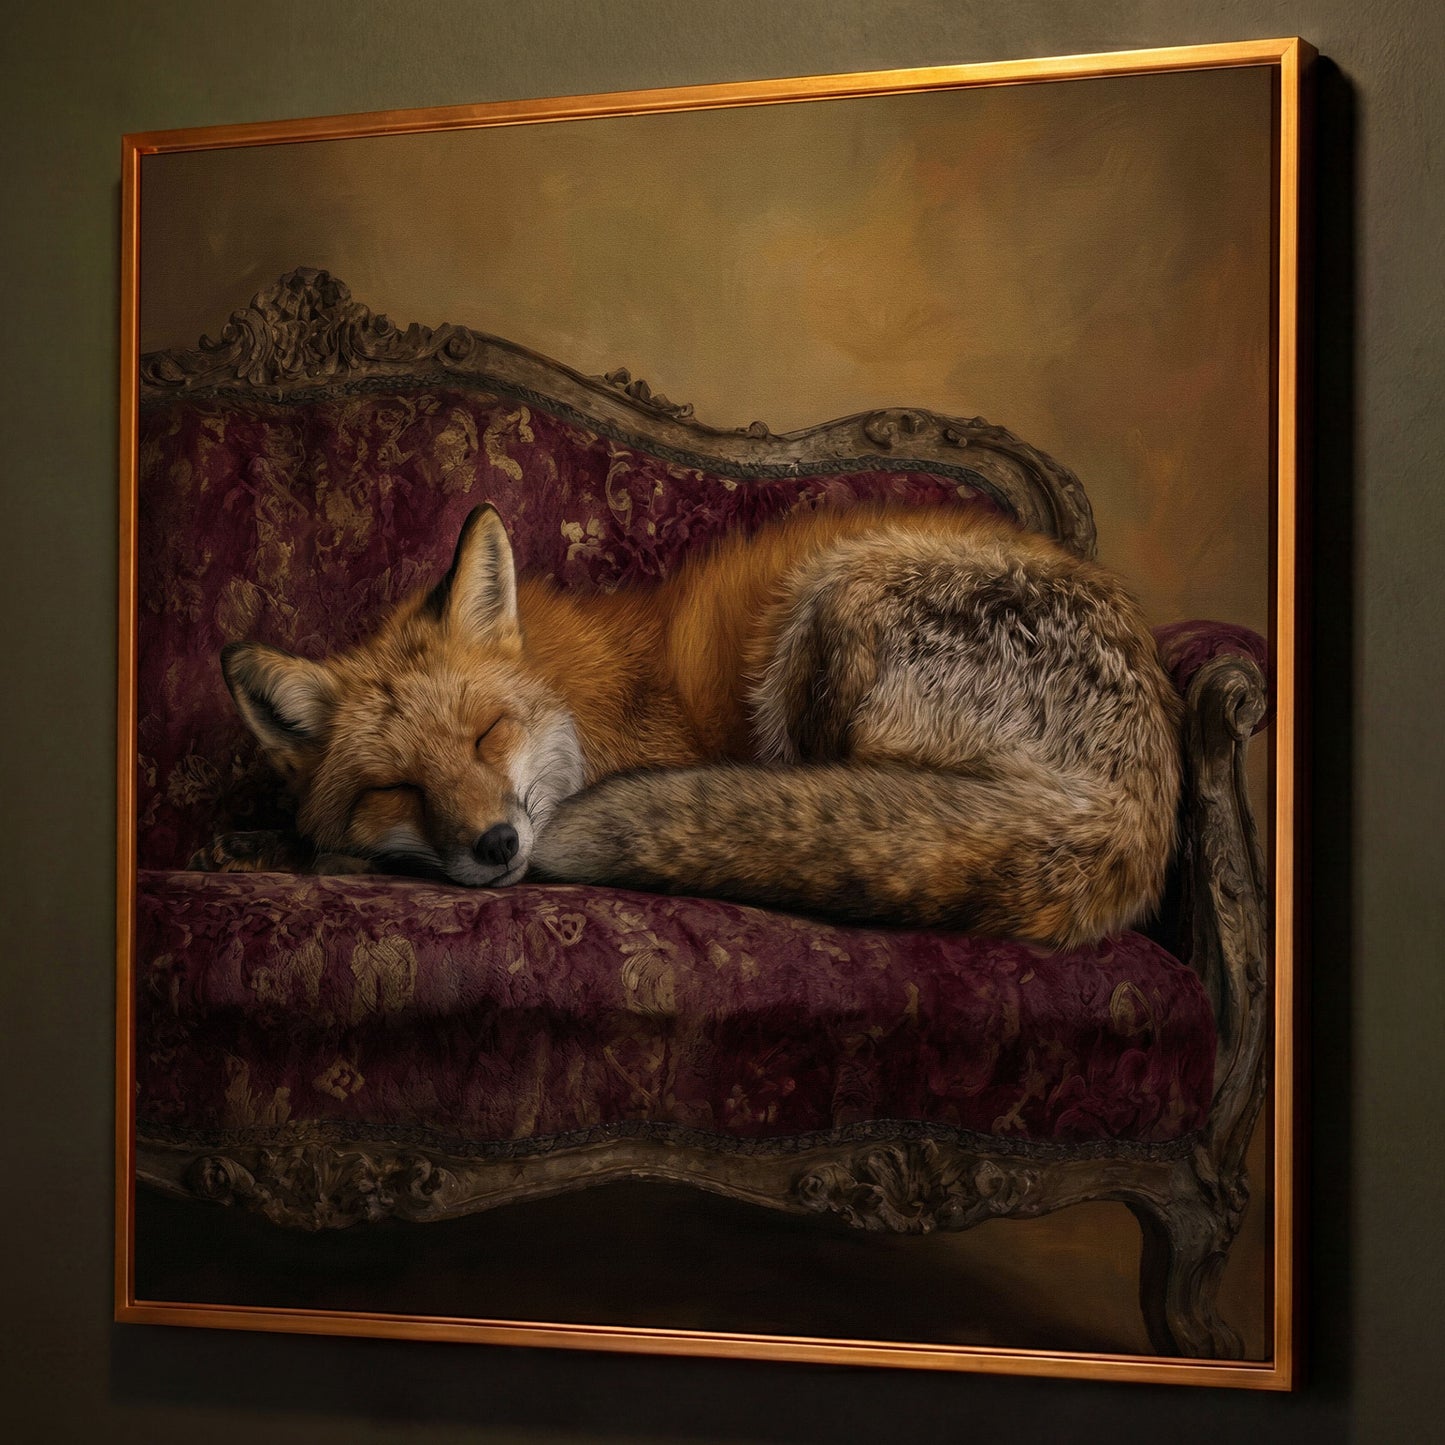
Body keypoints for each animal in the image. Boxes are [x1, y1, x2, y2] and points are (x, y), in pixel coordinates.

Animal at [220, 500, 1182, 948]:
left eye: (488, 733)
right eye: (396, 787)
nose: (496, 844)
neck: (581, 697)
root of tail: (1131, 791)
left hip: (833, 599)